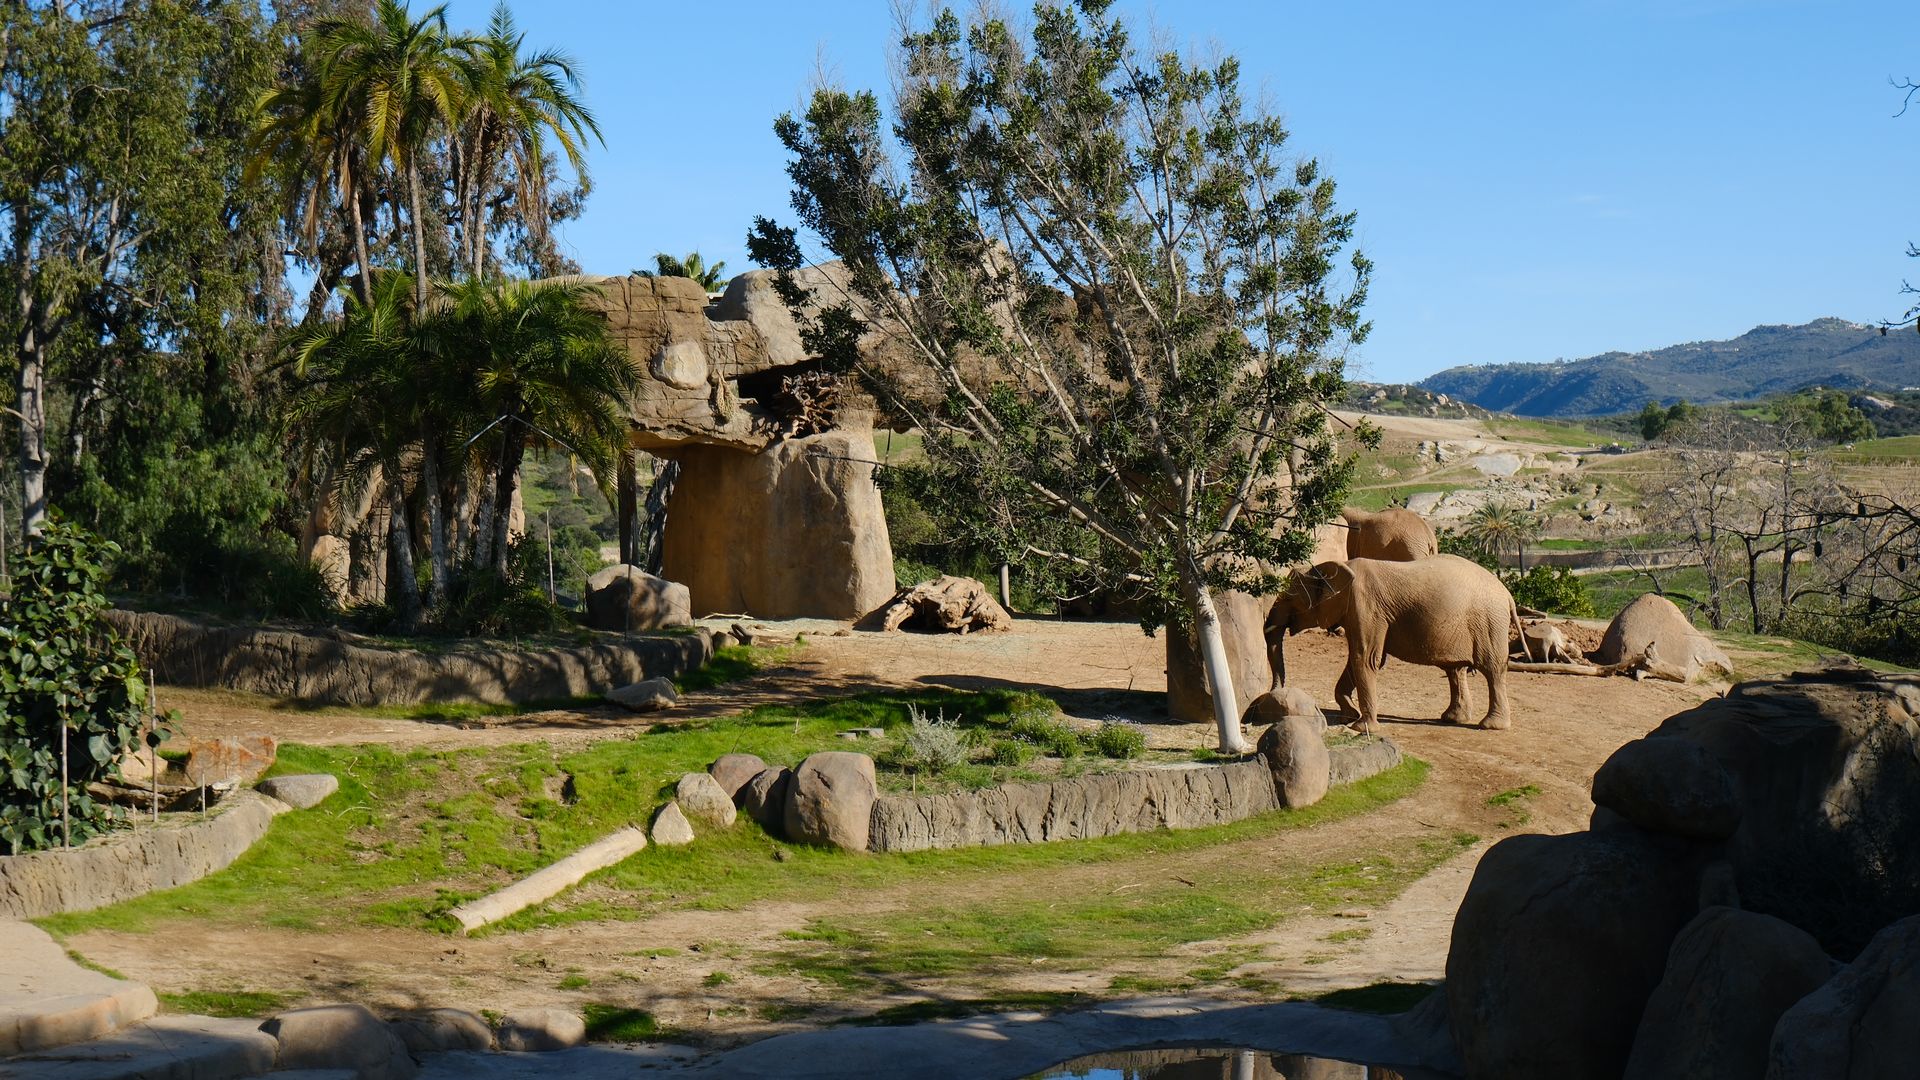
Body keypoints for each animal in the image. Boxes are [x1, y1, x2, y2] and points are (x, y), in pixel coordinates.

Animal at [1264, 554, 1519, 733]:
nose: (1273, 692)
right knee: (1455, 670)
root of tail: (1508, 595)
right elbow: (1357, 660)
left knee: (1492, 670)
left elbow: (1365, 658)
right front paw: (1350, 715)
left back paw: (1490, 726)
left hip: (1489, 624)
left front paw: (1360, 727)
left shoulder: (1366, 608)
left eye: (1290, 599)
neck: (1336, 566)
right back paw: (1452, 718)